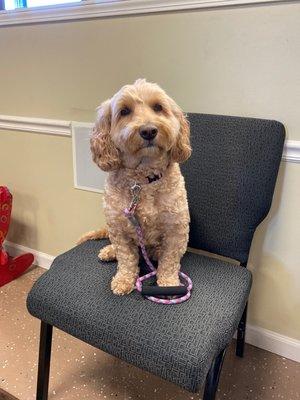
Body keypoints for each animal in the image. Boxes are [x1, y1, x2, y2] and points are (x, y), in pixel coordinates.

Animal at [78, 79, 191, 296]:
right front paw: (123, 280)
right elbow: (126, 258)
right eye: (124, 111)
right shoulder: (119, 227)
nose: (148, 130)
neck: (143, 180)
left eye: (158, 107)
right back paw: (109, 251)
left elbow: (169, 261)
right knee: (117, 246)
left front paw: (168, 283)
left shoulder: (175, 229)